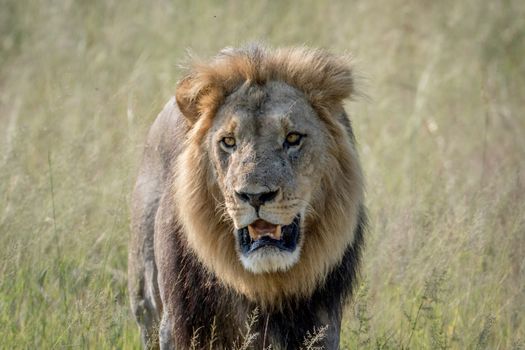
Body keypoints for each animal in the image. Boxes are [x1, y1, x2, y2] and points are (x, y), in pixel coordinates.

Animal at [127, 44, 366, 350]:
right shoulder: (180, 325)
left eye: (292, 138)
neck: (264, 284)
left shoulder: (322, 325)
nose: (255, 196)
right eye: (229, 142)